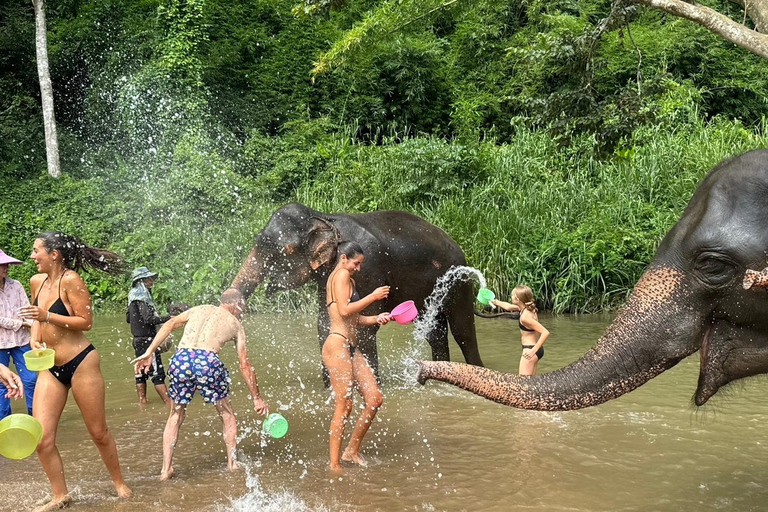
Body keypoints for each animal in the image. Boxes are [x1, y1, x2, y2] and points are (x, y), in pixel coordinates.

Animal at [225, 202, 484, 382]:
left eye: (285, 251)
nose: (229, 303)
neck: (323, 217)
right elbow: (327, 322)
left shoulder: (367, 266)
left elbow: (363, 323)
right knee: (435, 333)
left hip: (458, 280)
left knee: (462, 329)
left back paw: (476, 370)